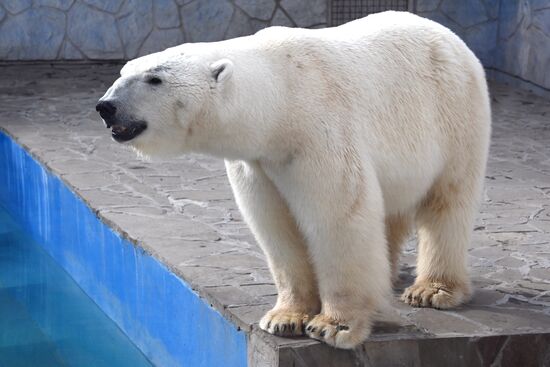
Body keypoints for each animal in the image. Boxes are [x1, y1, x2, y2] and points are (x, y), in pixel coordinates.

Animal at [95, 11, 492, 350]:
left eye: (154, 79)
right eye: (124, 70)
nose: (106, 106)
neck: (280, 100)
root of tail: (450, 36)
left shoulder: (320, 134)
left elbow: (337, 219)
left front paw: (335, 325)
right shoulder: (259, 163)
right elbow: (277, 228)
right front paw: (285, 319)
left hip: (455, 117)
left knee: (447, 203)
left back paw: (433, 290)